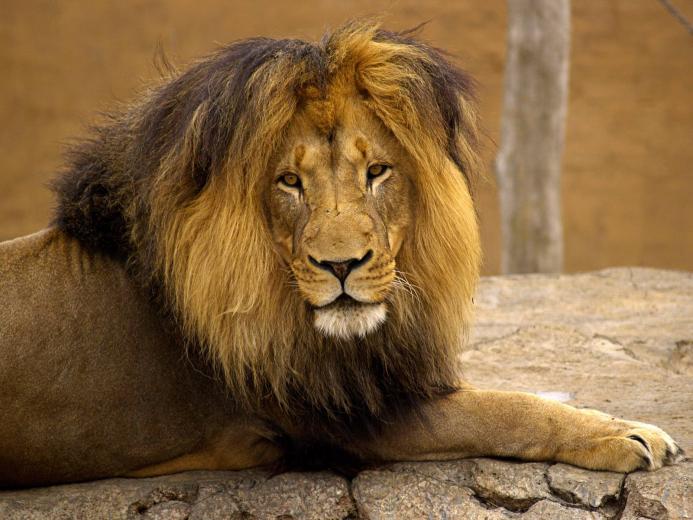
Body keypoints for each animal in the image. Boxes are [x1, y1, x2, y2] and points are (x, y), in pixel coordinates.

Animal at [0, 21, 683, 487]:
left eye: (377, 172)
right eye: (289, 182)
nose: (341, 266)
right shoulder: (343, 418)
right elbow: (503, 412)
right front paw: (623, 432)